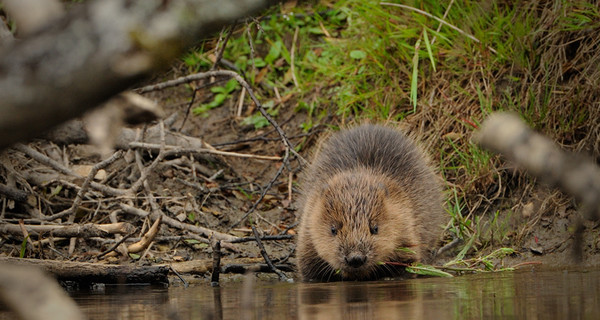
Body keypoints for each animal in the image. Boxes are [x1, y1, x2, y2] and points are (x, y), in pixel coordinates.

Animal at [296, 124, 446, 282]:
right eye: (333, 229)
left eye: (375, 228)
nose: (355, 259)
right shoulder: (307, 231)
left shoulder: (406, 225)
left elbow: (407, 263)